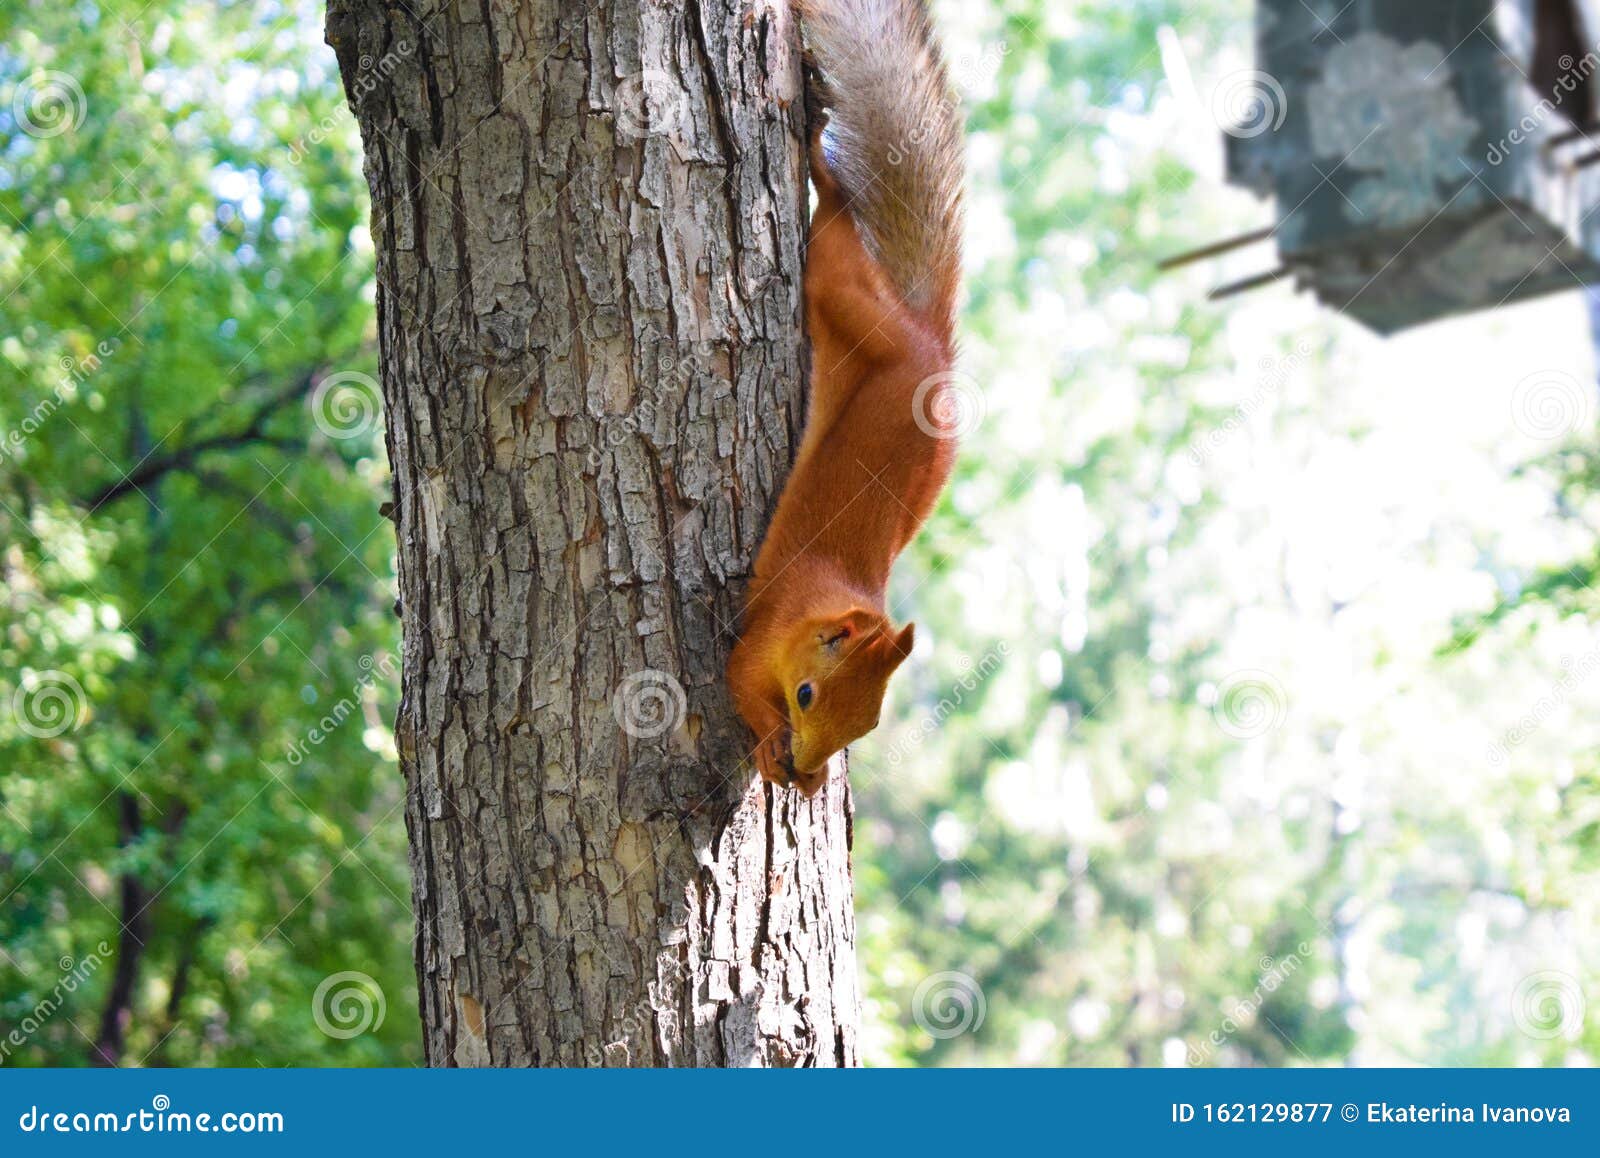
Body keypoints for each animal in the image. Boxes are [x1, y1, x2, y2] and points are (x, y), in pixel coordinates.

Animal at [726, 0, 965, 796]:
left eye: (865, 726)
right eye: (806, 695)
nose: (807, 767)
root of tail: (930, 340)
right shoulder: (760, 635)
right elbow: (737, 684)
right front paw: (771, 743)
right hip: (839, 288)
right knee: (834, 220)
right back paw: (820, 162)